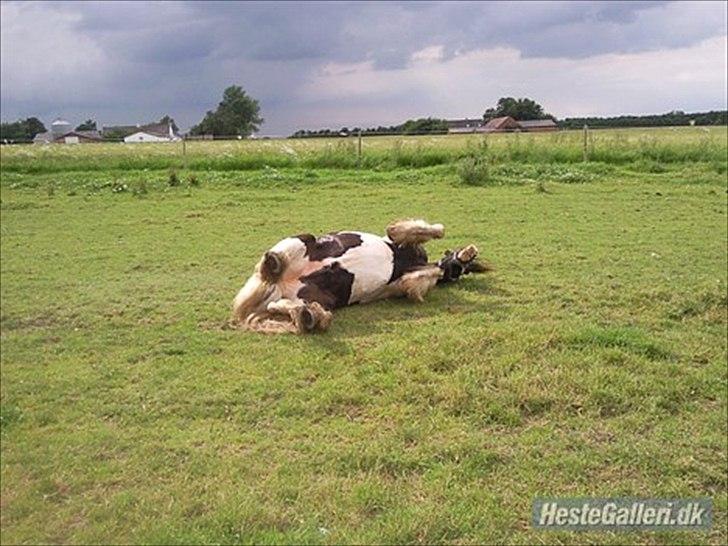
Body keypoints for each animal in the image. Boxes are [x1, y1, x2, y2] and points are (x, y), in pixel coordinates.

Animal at [230, 218, 486, 332]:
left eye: (461, 271)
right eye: (458, 265)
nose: (465, 258)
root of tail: (278, 285)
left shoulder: (401, 284)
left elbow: (411, 284)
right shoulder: (396, 240)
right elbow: (403, 230)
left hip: (315, 298)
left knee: (281, 306)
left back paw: (309, 316)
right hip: (304, 239)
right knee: (275, 264)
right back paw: (273, 263)